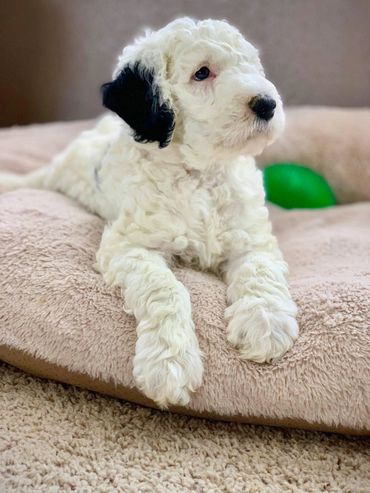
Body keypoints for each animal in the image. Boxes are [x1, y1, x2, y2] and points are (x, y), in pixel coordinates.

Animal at [0, 16, 298, 408]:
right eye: (202, 73)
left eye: (251, 65)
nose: (267, 104)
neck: (200, 175)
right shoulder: (130, 247)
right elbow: (166, 289)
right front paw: (169, 362)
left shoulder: (252, 239)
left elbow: (259, 270)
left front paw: (266, 323)